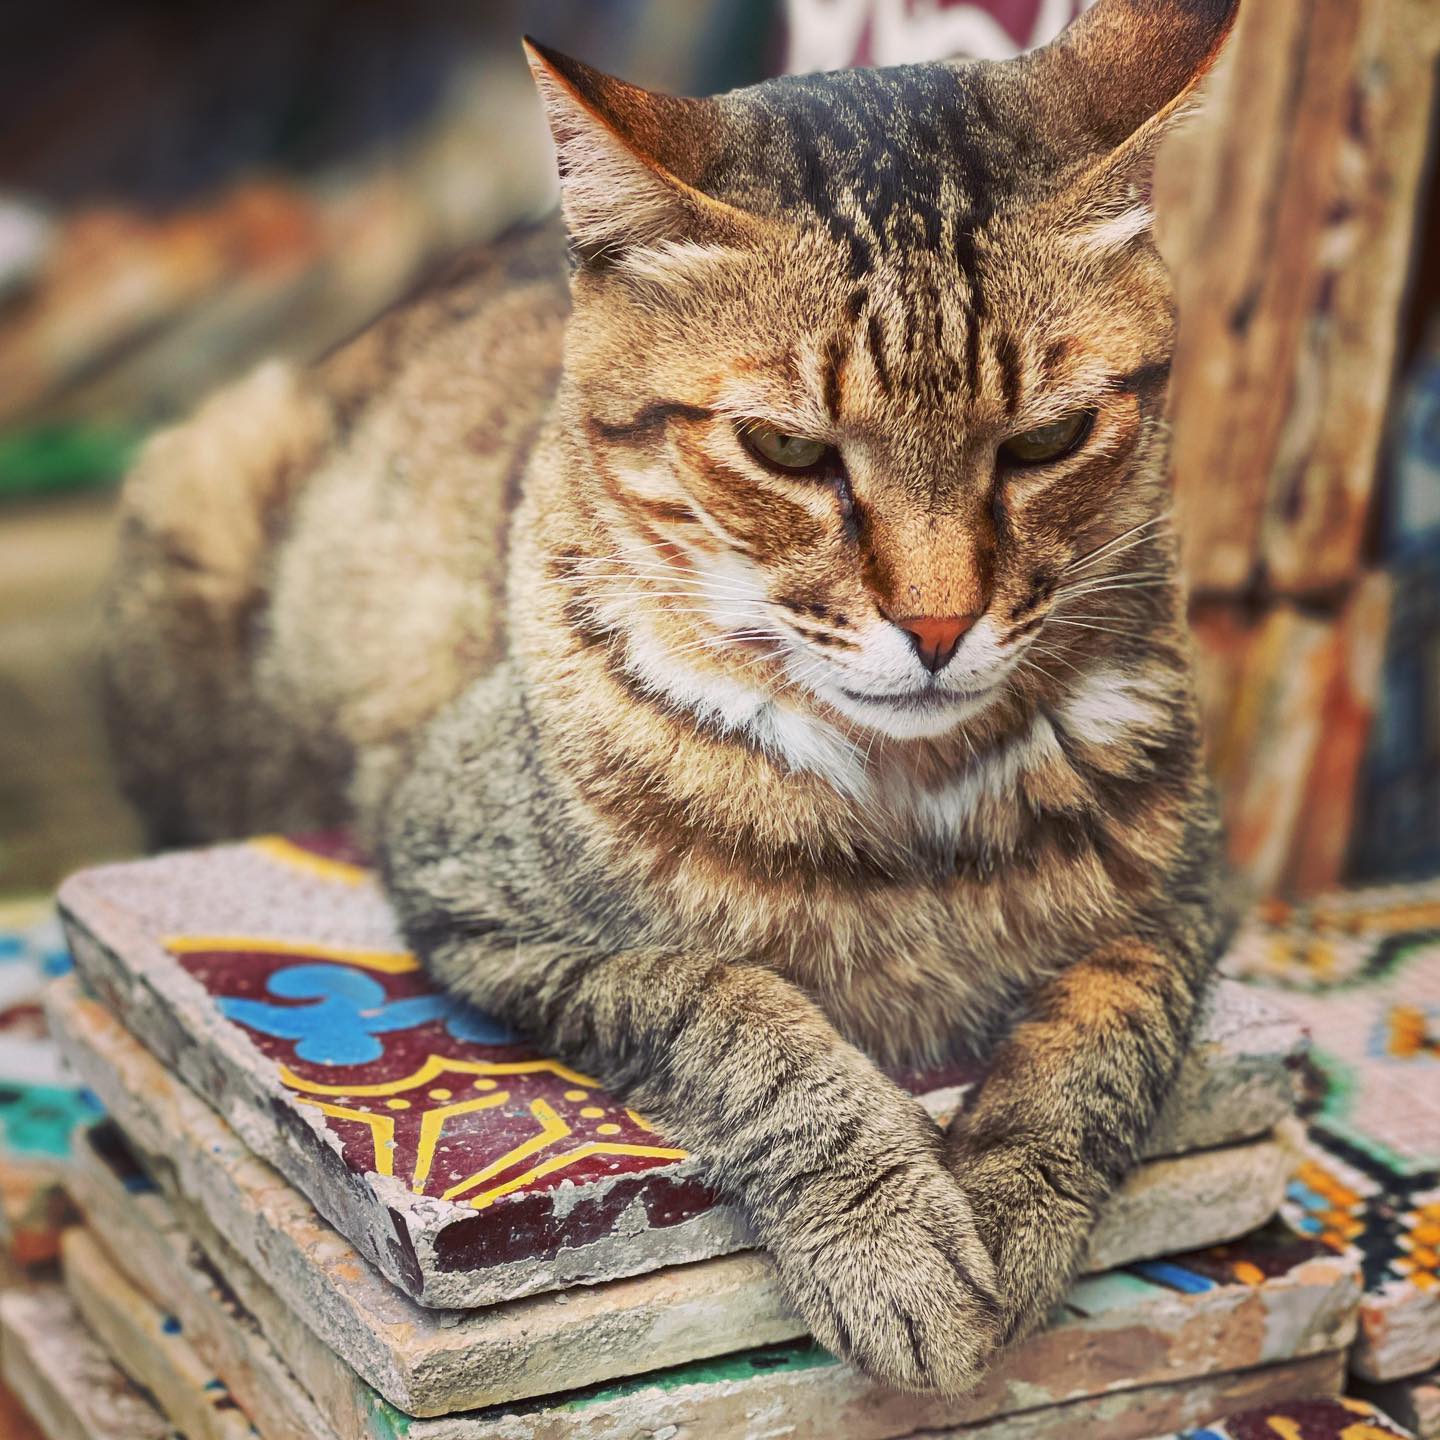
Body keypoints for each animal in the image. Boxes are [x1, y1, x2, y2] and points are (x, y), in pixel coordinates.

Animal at [106, 0, 1244, 1393]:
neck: (909, 804)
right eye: (789, 450)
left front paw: (1013, 1203)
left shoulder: (1192, 891)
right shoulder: (479, 903)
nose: (937, 625)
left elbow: (1104, 1029)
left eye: (1046, 441)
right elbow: (729, 1007)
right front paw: (889, 1235)